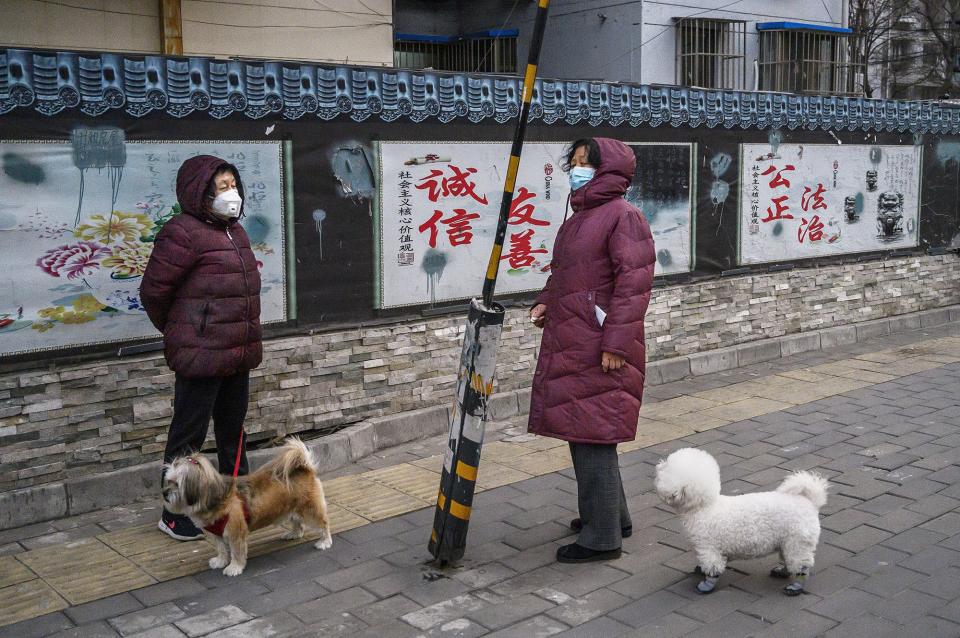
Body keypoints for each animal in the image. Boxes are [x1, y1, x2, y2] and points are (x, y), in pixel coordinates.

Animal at [162, 438, 334, 576]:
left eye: (177, 484)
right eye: (168, 481)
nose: (164, 493)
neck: (216, 499)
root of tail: (305, 468)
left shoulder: (235, 533)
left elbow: (237, 553)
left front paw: (234, 568)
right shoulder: (215, 534)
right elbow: (221, 548)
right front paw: (221, 561)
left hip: (310, 511)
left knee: (323, 524)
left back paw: (325, 542)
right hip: (291, 509)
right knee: (298, 524)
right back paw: (294, 534)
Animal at [656, 448, 828, 596]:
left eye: (667, 467)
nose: (659, 464)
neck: (703, 507)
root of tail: (810, 502)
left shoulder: (708, 548)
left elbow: (713, 568)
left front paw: (706, 584)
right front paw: (700, 570)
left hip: (798, 542)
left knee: (801, 565)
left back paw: (796, 586)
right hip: (787, 542)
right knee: (788, 558)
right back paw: (782, 572)